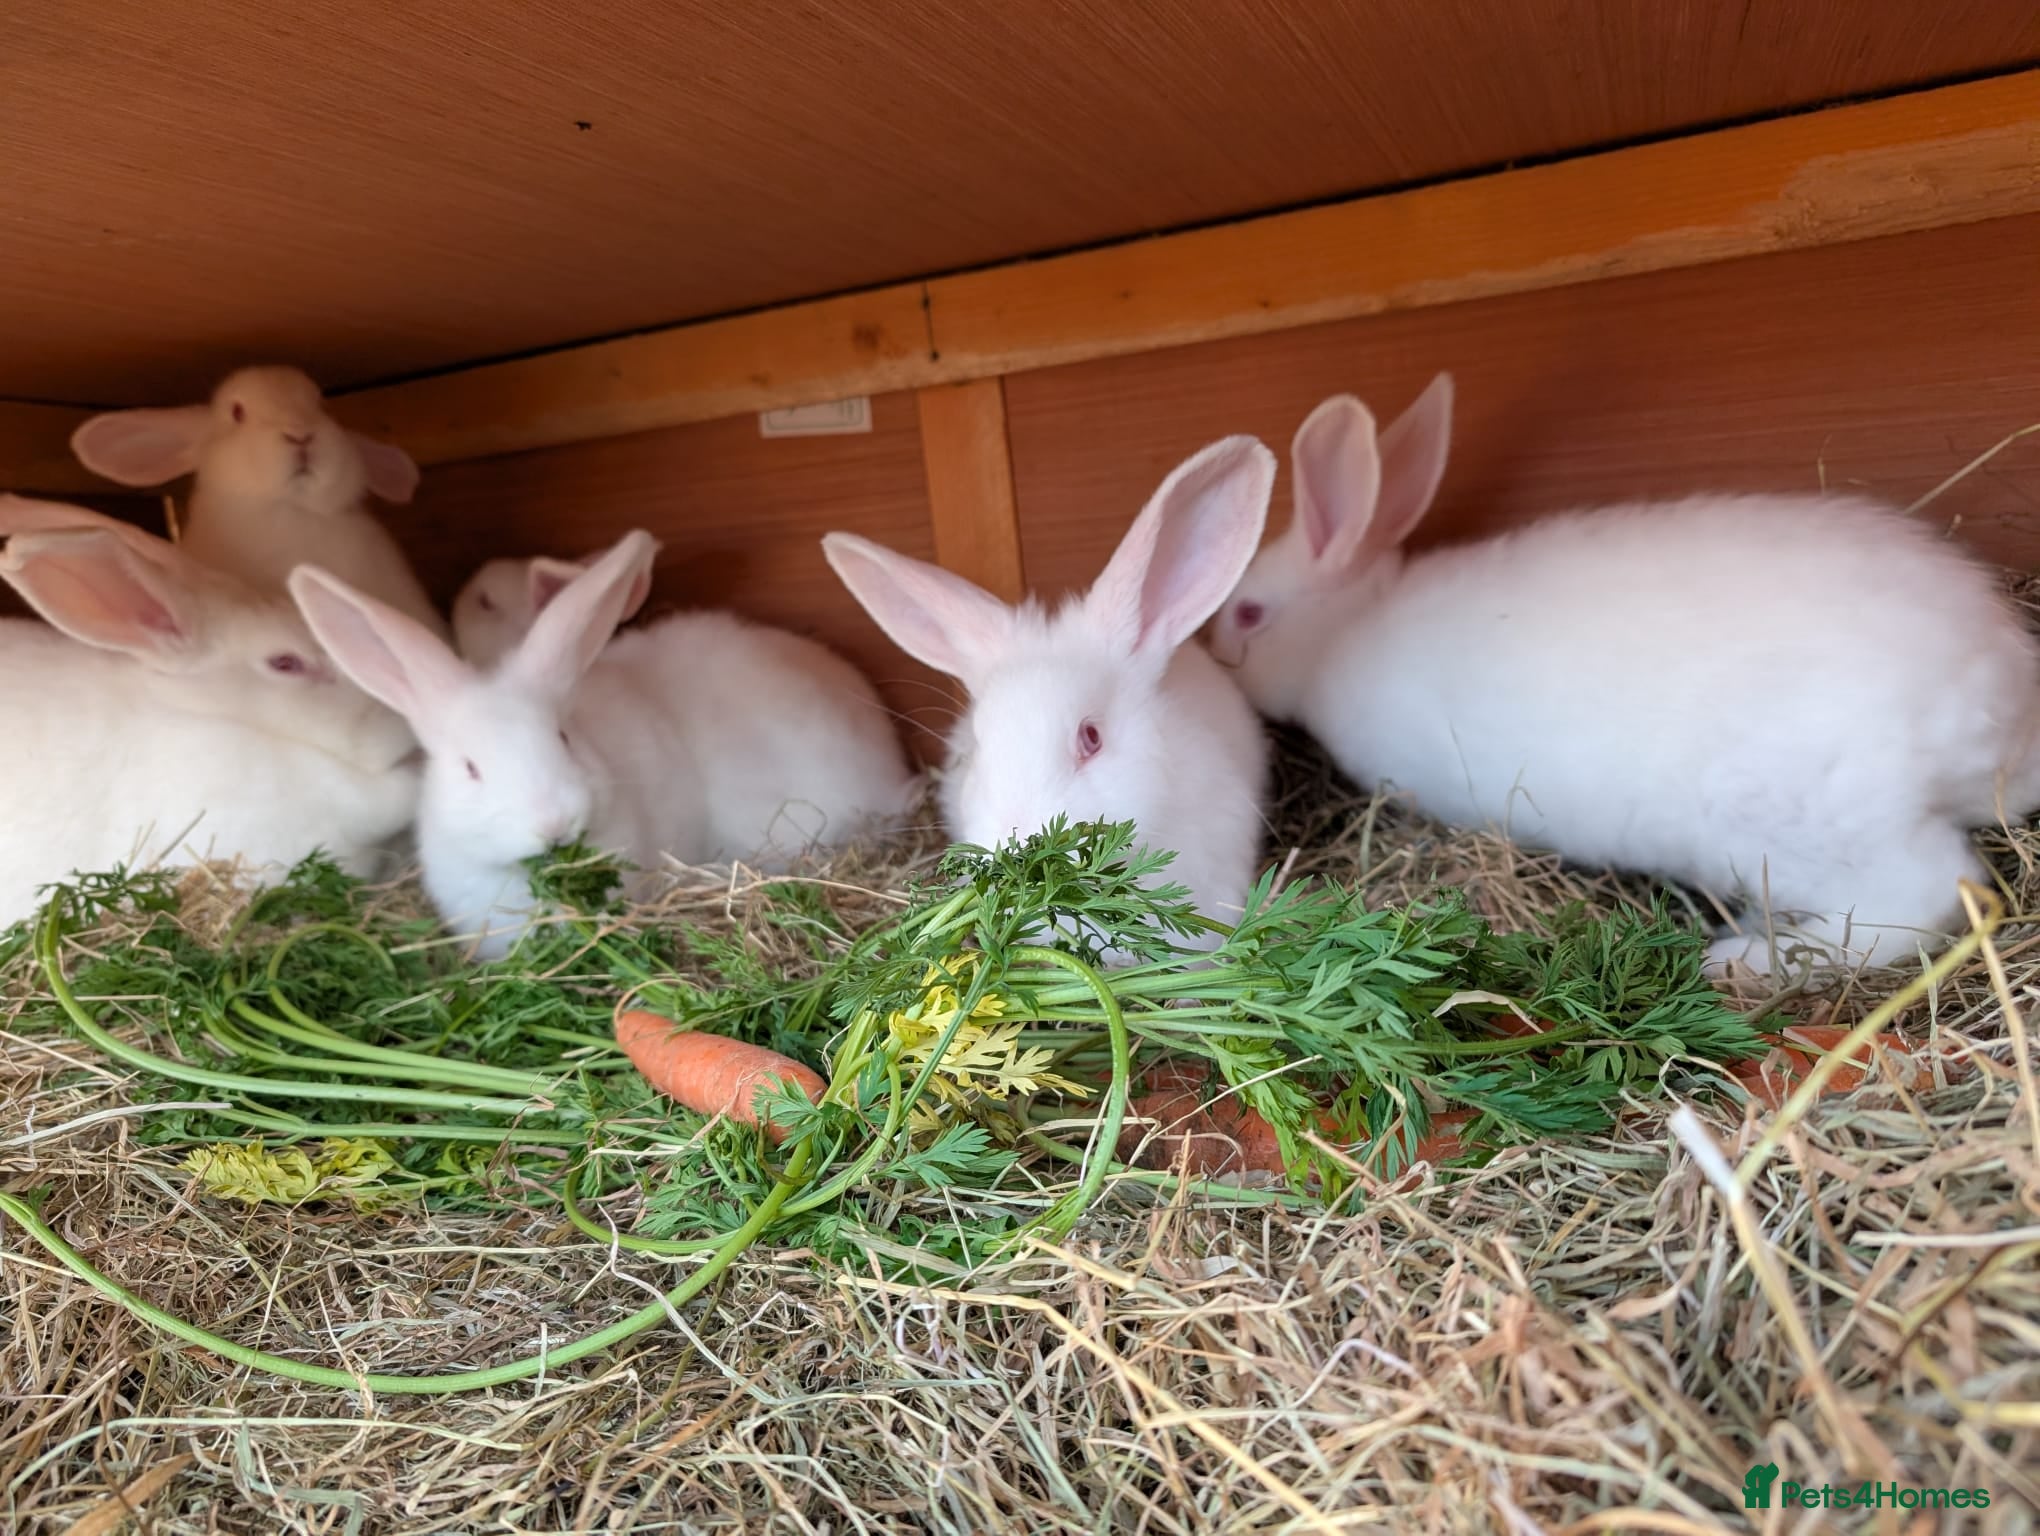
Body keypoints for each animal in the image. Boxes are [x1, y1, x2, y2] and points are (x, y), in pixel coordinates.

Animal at [1207, 372, 2040, 977]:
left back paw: (1743, 961)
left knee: (1931, 895)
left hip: (1802, 823)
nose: (1215, 651)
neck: (1348, 629)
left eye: (1247, 613)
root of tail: (2001, 713)